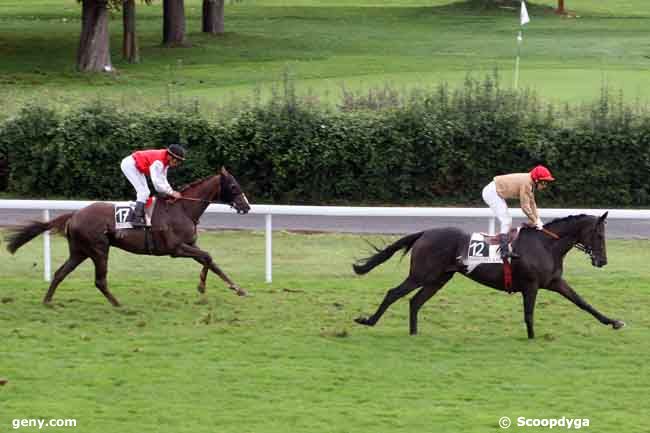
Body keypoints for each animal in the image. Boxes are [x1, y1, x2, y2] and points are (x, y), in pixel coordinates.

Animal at [7, 167, 251, 306]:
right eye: (233, 186)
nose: (246, 206)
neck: (182, 208)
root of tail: (74, 214)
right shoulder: (176, 248)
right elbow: (208, 257)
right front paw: (201, 287)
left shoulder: (188, 245)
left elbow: (211, 262)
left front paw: (238, 289)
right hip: (99, 249)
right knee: (99, 280)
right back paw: (118, 304)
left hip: (79, 251)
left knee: (60, 273)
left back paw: (48, 301)